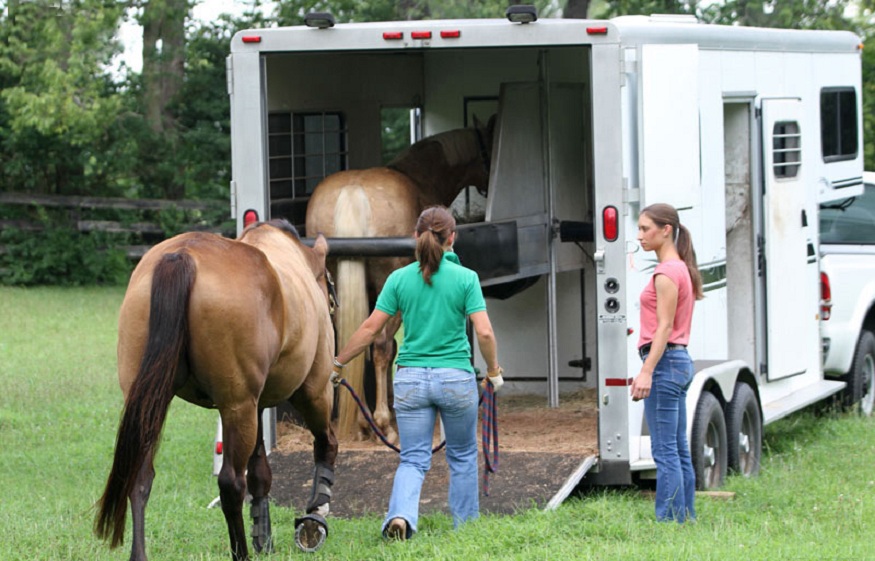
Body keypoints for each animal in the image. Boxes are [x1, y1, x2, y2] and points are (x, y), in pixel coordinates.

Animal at [95, 219, 338, 560]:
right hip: (242, 406)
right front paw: (315, 516)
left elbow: (260, 472)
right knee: (232, 483)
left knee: (140, 477)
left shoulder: (256, 406)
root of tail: (181, 255)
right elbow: (326, 445)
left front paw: (264, 537)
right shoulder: (312, 390)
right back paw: (242, 552)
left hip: (152, 402)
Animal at [304, 117, 492, 442]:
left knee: (351, 343)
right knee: (381, 346)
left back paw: (361, 421)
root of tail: (353, 192)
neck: (420, 177)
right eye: (488, 147)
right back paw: (383, 424)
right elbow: (387, 347)